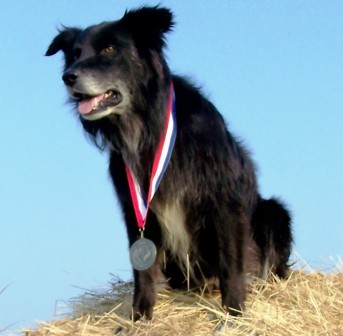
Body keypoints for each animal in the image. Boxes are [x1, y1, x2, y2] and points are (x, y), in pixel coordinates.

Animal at [45, 5, 292, 320]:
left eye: (109, 48)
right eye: (75, 55)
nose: (68, 77)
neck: (146, 126)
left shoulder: (223, 198)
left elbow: (230, 260)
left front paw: (234, 312)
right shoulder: (135, 210)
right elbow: (143, 271)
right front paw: (139, 317)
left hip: (273, 212)